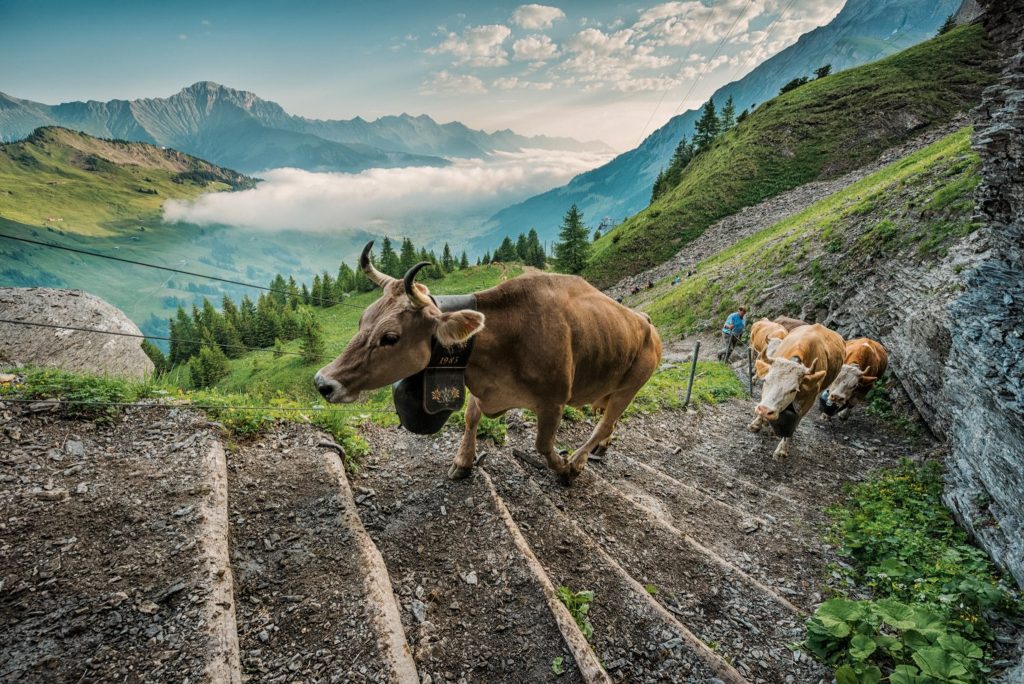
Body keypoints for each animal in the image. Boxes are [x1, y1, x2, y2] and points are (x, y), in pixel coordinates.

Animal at [314, 242, 663, 485]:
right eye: (362, 320)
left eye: (390, 337)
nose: (322, 382)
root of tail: (646, 320)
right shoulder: (482, 387)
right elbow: (470, 418)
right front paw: (462, 462)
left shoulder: (553, 401)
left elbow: (542, 444)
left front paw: (563, 468)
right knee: (607, 420)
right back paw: (601, 447)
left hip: (630, 386)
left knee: (606, 422)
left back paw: (578, 460)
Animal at [748, 323, 844, 459]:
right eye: (766, 380)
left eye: (793, 389)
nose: (766, 410)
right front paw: (756, 424)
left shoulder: (808, 400)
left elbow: (795, 423)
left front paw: (782, 449)